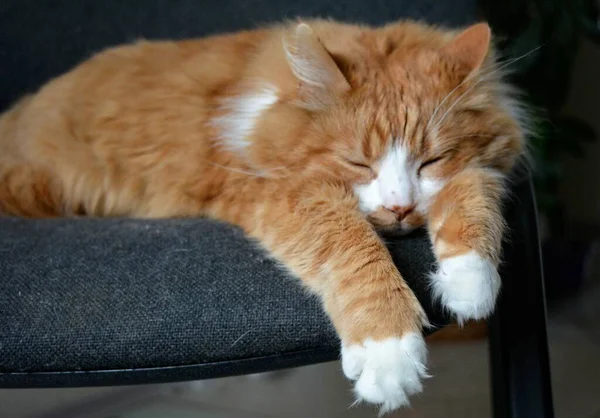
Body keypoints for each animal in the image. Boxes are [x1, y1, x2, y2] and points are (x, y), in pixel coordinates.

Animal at [0, 18, 524, 412]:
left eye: (431, 161)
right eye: (358, 163)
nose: (399, 208)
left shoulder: (479, 167)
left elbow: (472, 188)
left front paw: (468, 279)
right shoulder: (278, 193)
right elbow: (352, 245)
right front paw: (388, 350)